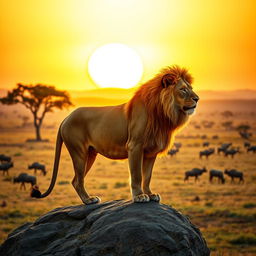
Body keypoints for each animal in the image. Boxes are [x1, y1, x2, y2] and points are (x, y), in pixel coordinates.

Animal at [32, 65, 200, 204]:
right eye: (183, 89)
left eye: (191, 88)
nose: (197, 99)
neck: (163, 114)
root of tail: (66, 118)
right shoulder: (135, 146)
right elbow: (137, 175)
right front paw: (139, 196)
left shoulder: (151, 152)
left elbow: (147, 176)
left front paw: (150, 194)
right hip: (78, 151)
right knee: (78, 180)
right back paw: (88, 200)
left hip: (90, 154)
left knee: (75, 180)